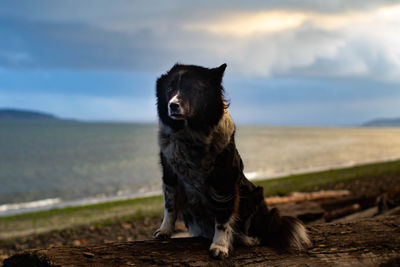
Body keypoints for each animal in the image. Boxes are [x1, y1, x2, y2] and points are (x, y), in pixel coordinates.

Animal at [153, 63, 310, 260]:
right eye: (169, 89)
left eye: (192, 88)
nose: (173, 105)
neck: (191, 133)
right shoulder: (170, 173)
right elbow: (170, 206)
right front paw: (165, 230)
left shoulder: (224, 178)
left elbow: (223, 215)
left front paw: (220, 246)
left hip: (254, 195)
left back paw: (248, 239)